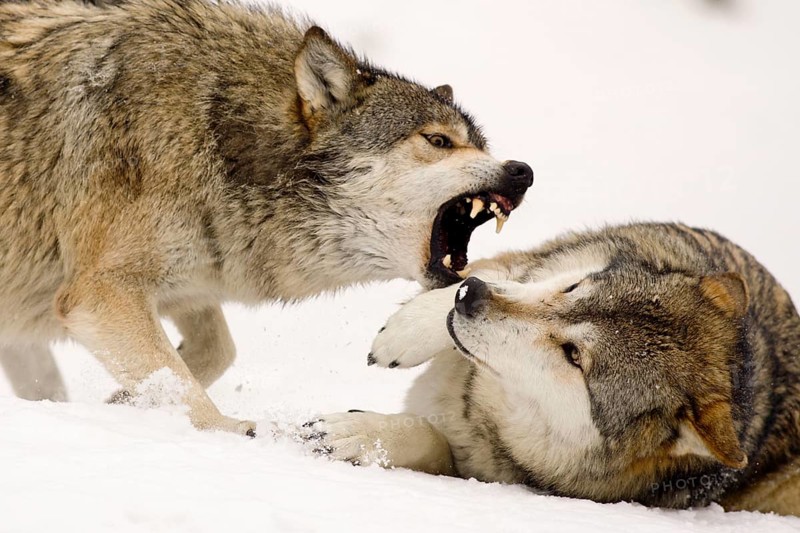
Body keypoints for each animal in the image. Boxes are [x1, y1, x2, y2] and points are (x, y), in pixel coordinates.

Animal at [0, 0, 533, 435]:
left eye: (479, 145)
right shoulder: (100, 295)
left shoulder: (186, 280)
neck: (219, 135)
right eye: (439, 141)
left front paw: (126, 403)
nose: (522, 171)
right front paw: (223, 431)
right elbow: (179, 378)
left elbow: (211, 354)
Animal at [306, 222, 800, 516]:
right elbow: (508, 272)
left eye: (574, 356)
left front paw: (351, 433)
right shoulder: (538, 262)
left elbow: (430, 438)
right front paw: (407, 331)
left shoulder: (484, 470)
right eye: (573, 287)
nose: (470, 297)